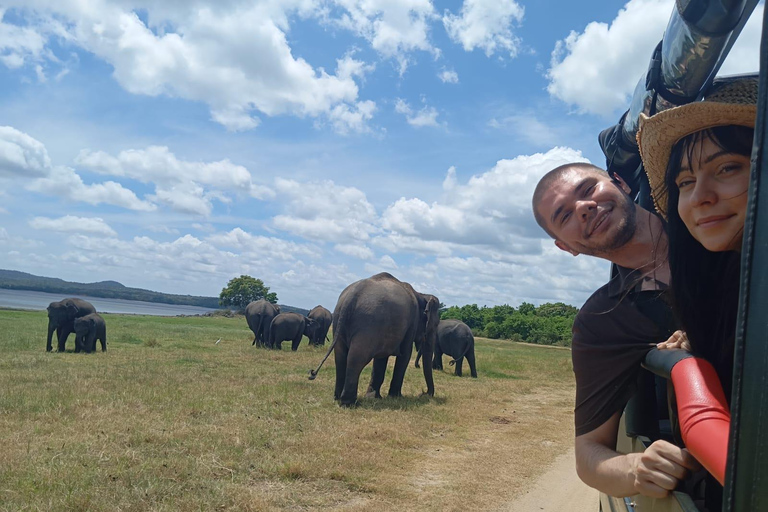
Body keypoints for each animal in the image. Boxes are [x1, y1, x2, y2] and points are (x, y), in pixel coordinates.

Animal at [308, 272, 438, 408]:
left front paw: (374, 397)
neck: (420, 294)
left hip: (339, 321)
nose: (423, 393)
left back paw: (337, 398)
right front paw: (396, 397)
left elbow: (381, 358)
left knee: (340, 357)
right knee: (357, 358)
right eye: (435, 325)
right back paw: (349, 403)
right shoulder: (411, 323)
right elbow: (405, 355)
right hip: (368, 323)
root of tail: (352, 296)